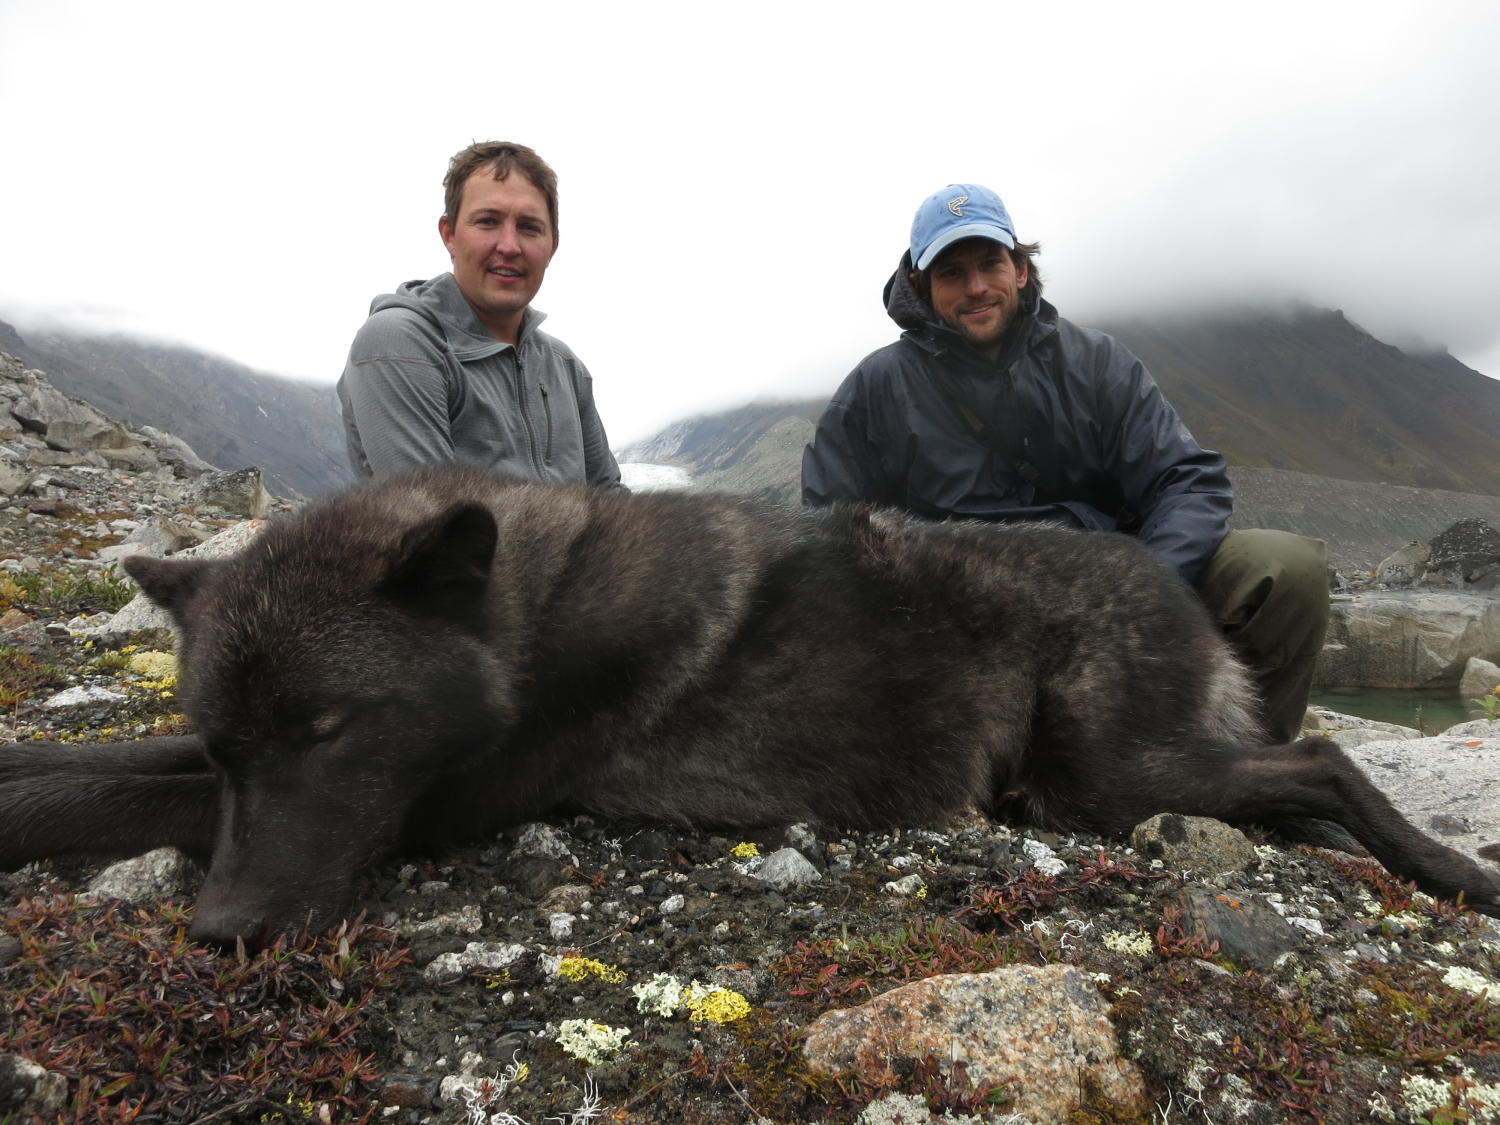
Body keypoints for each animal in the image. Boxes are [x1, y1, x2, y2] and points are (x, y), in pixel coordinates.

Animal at [1, 466, 1495, 946]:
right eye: (231, 742)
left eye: (331, 731)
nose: (219, 932)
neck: (530, 617)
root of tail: (1175, 587)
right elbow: (116, 758)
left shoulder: (441, 805)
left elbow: (106, 786)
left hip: (1111, 773)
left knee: (1324, 759)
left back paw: (1453, 868)